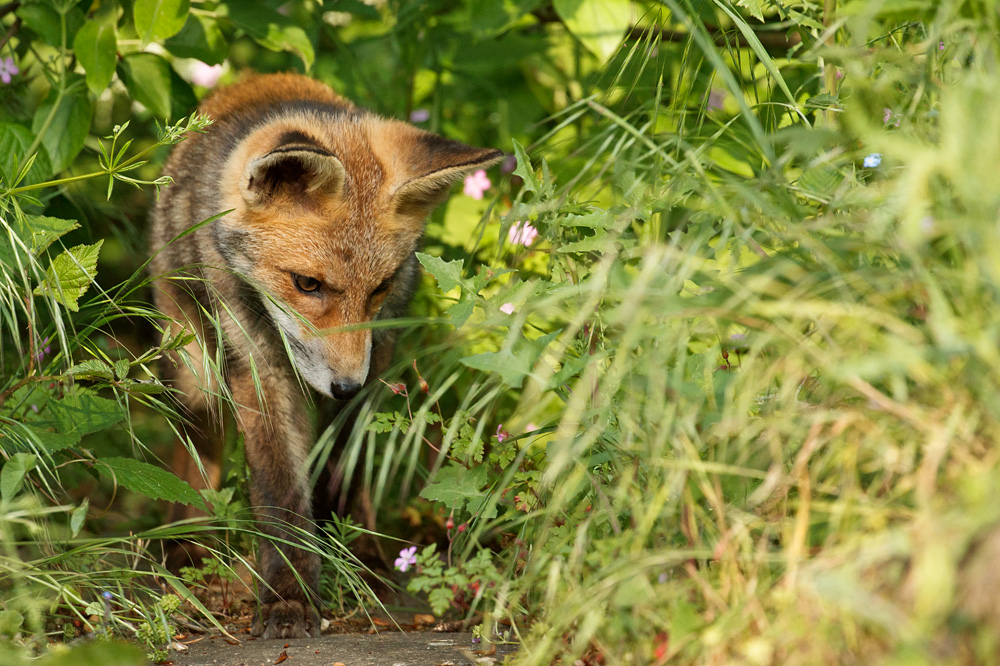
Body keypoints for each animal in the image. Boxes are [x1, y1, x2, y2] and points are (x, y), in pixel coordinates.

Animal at [149, 73, 501, 639]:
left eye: (379, 289)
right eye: (307, 284)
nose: (344, 386)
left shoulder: (375, 365)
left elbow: (345, 471)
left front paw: (348, 555)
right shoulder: (259, 371)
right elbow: (281, 492)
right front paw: (289, 595)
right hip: (195, 374)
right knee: (196, 460)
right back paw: (188, 543)